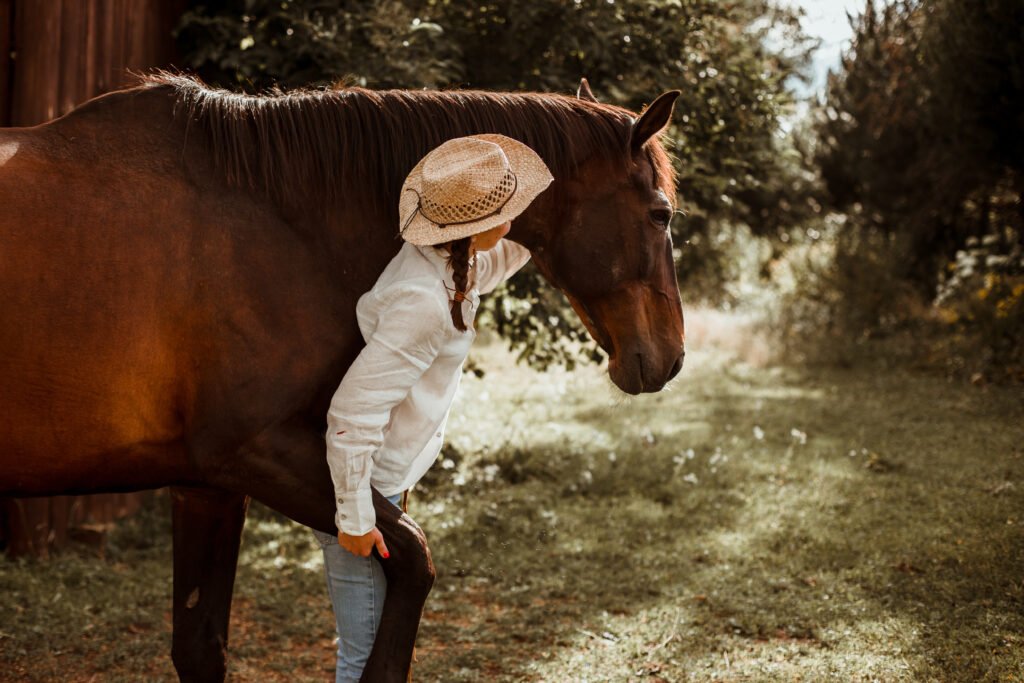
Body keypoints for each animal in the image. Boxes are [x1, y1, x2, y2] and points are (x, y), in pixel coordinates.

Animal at [2, 72, 688, 679]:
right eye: (661, 215)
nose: (672, 356)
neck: (277, 221)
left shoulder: (207, 485)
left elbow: (200, 649)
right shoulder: (256, 451)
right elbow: (412, 555)